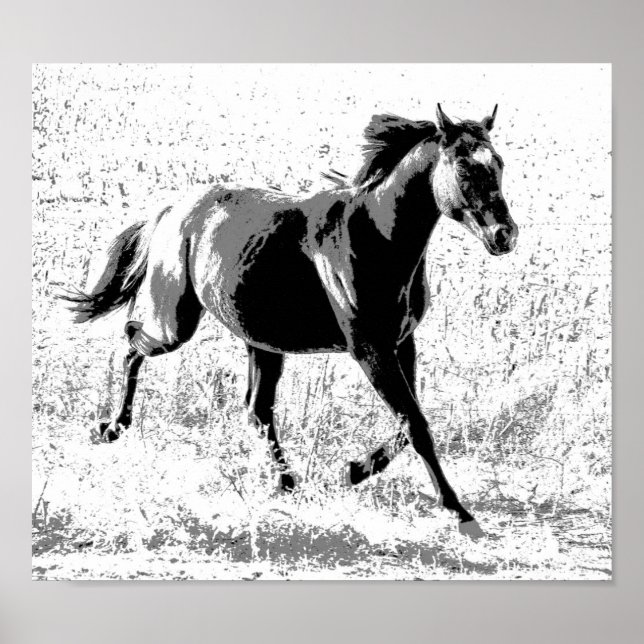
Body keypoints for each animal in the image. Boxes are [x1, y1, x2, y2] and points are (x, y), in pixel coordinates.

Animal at [60, 104, 518, 538]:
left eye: (498, 163)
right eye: (463, 166)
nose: (505, 235)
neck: (376, 238)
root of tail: (171, 211)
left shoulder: (402, 344)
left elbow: (412, 420)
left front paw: (353, 470)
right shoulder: (369, 349)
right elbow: (416, 423)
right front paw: (461, 515)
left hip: (261, 343)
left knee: (257, 410)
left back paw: (287, 483)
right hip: (176, 324)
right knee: (131, 342)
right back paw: (113, 426)